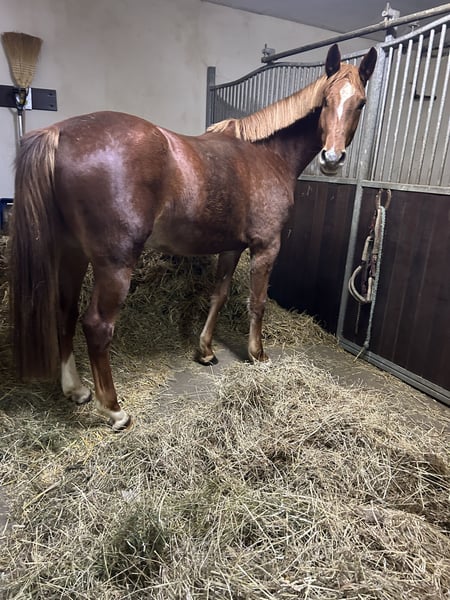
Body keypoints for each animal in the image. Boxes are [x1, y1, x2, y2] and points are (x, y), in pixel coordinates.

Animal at [9, 44, 377, 430]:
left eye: (360, 102)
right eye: (326, 100)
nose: (332, 158)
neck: (265, 155)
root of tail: (60, 133)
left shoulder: (231, 247)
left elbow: (219, 295)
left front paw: (206, 351)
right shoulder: (266, 246)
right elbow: (257, 302)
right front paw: (257, 354)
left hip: (72, 254)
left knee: (64, 310)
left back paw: (75, 389)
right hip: (114, 263)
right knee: (96, 326)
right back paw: (114, 409)